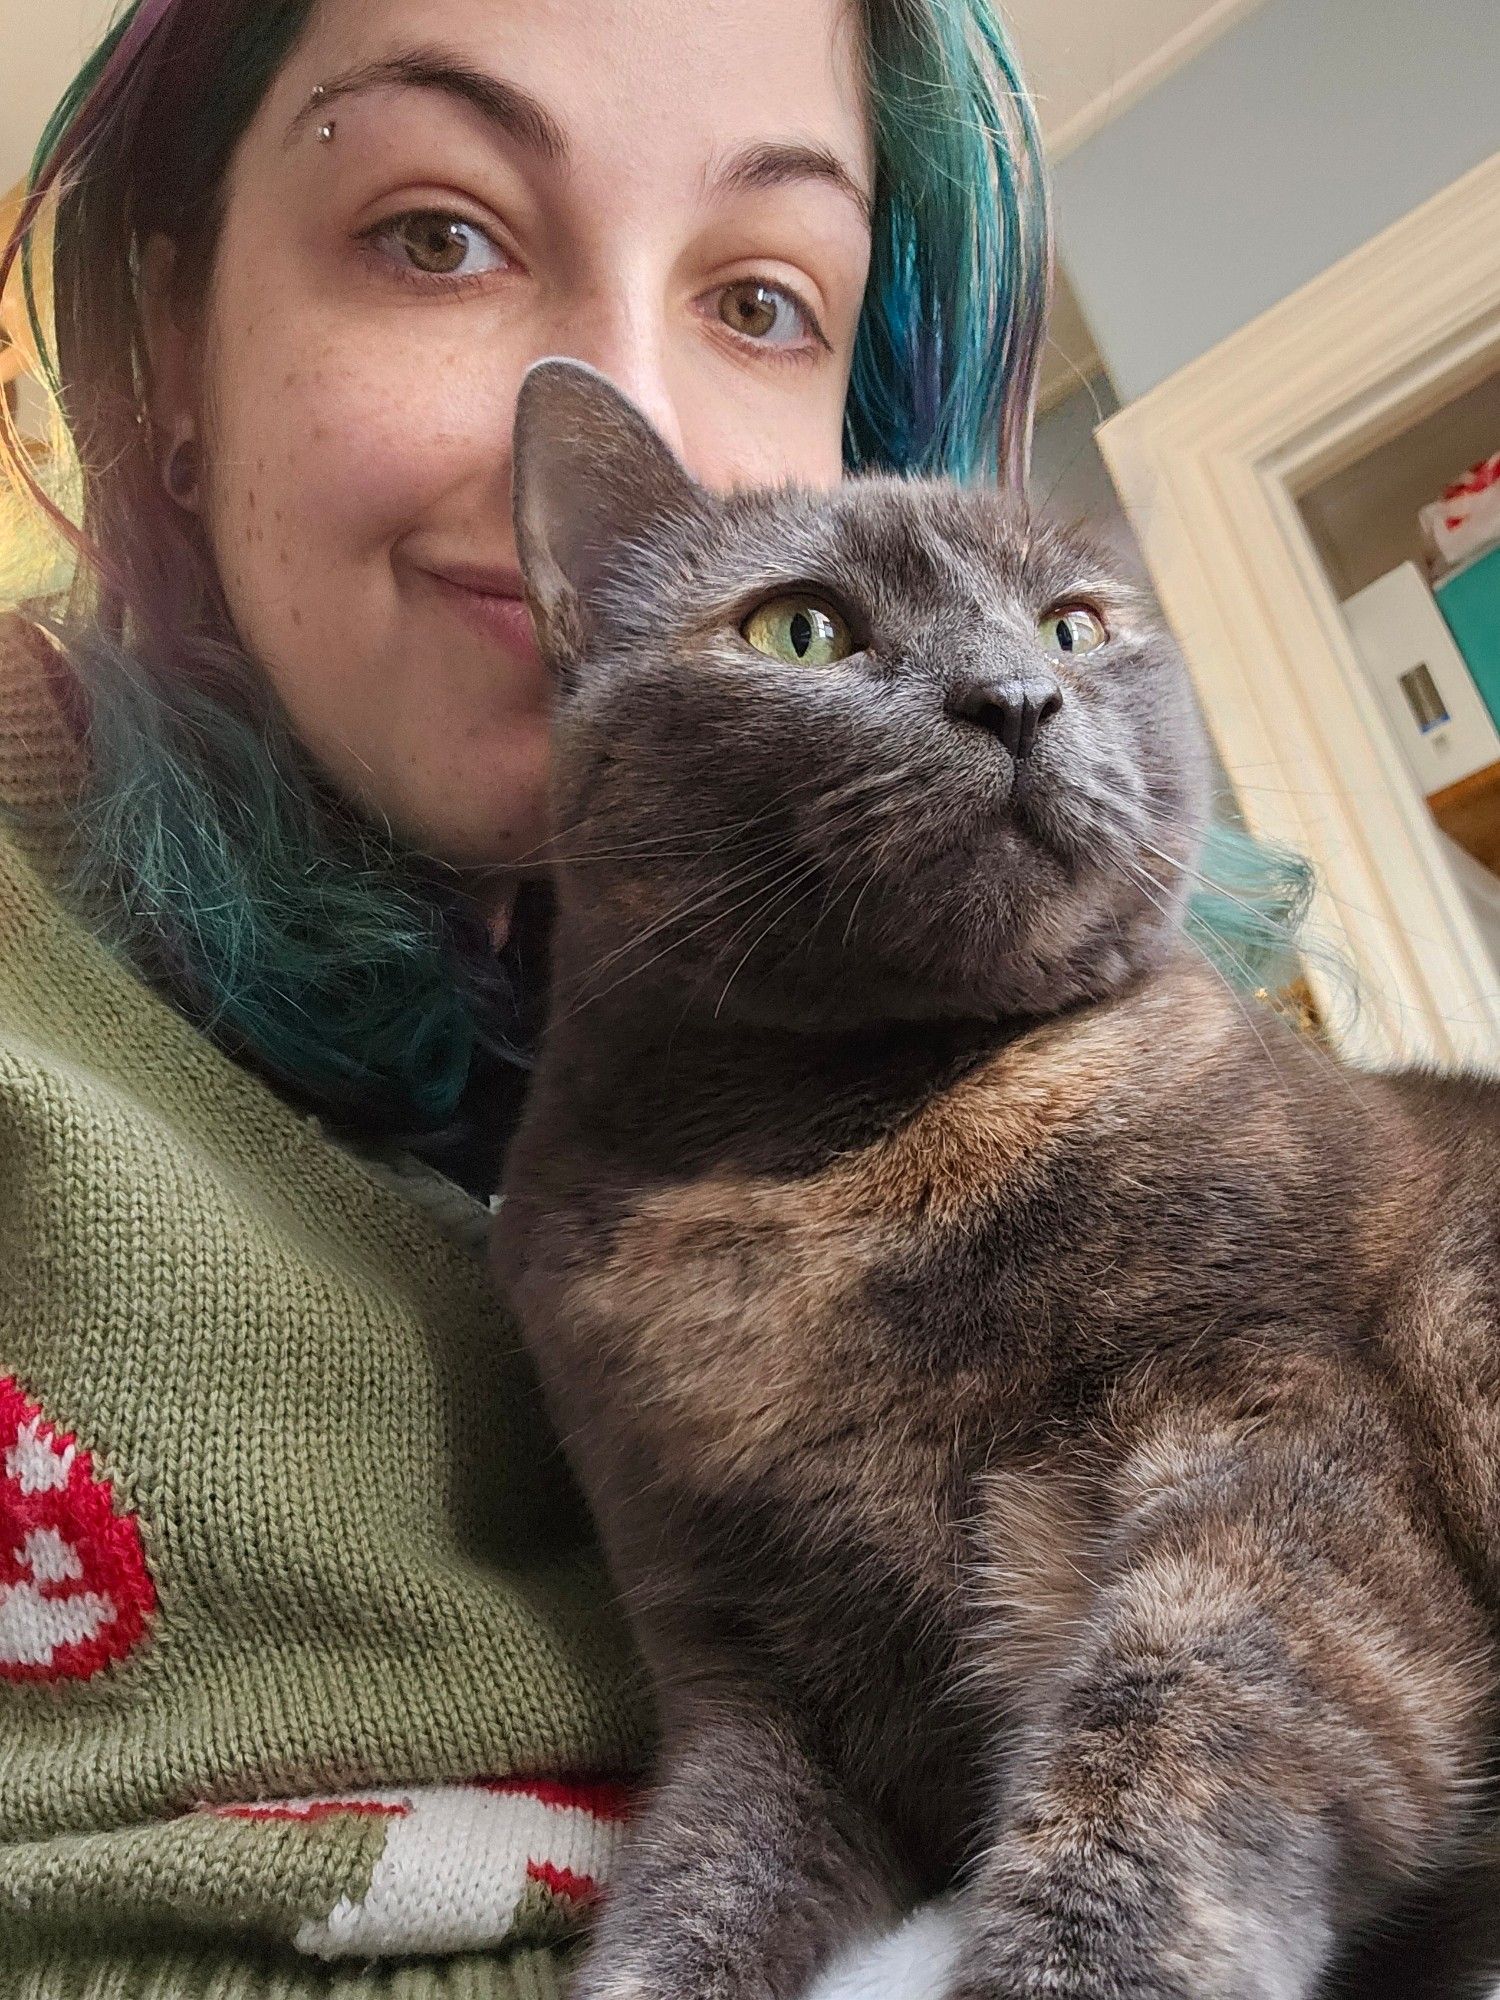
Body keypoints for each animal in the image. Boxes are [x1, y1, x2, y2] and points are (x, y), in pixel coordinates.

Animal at [494, 360, 1500, 2000]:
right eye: (800, 628)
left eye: (1074, 625)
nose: (1018, 696)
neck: (831, 1160)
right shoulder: (753, 1673)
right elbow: (689, 1892)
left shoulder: (1285, 1450)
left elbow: (1158, 1773)